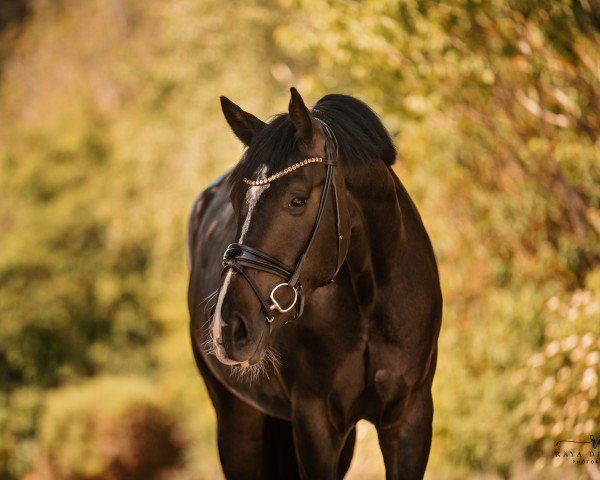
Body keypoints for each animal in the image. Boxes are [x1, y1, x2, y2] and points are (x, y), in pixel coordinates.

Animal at [189, 88, 446, 478]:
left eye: (296, 200)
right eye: (235, 202)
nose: (228, 328)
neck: (368, 301)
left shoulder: (410, 418)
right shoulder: (315, 422)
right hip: (238, 421)